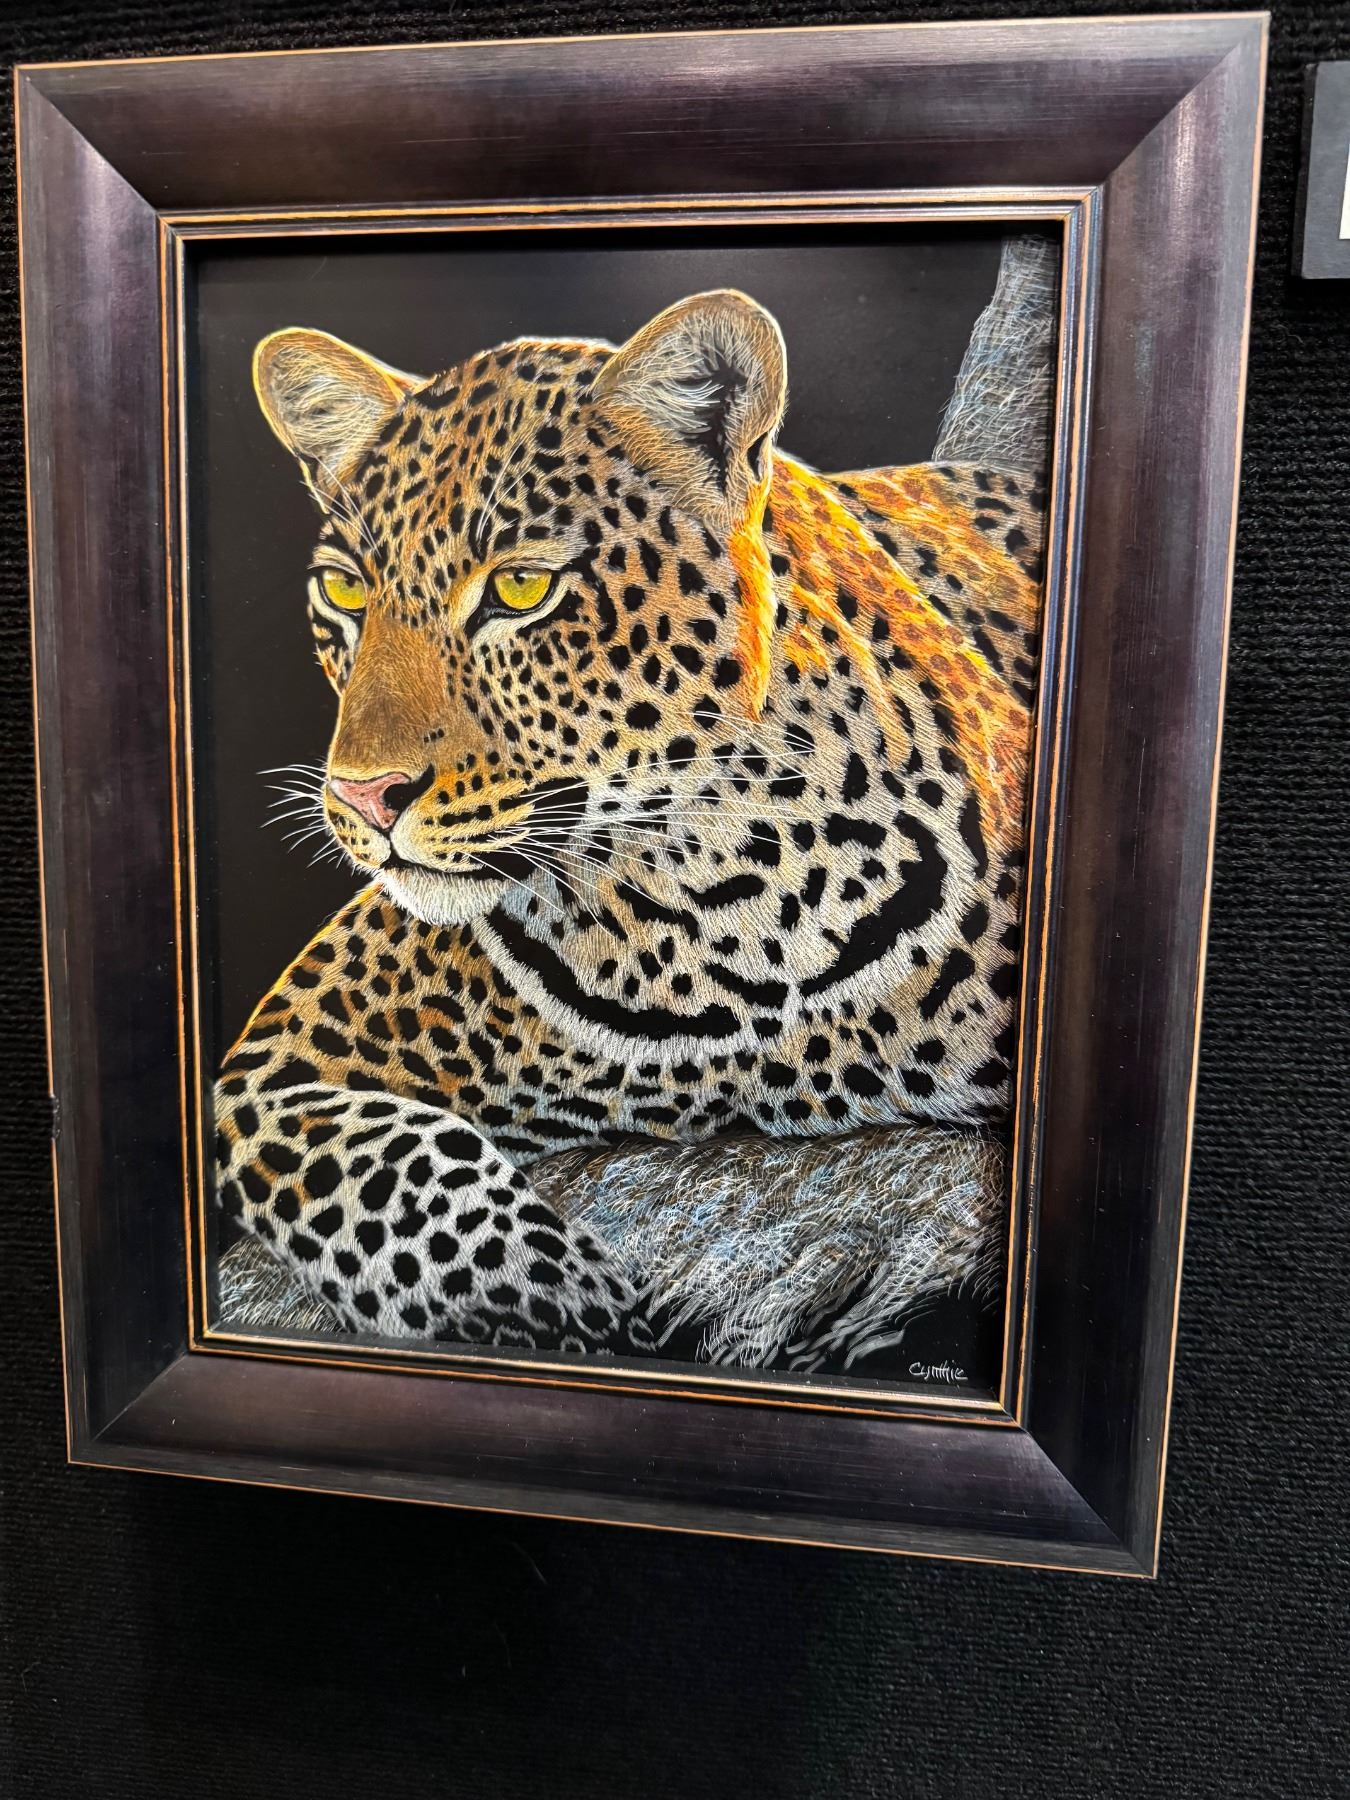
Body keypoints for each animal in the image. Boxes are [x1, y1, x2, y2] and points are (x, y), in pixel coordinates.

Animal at [214, 288, 1044, 1361]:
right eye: (347, 589)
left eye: (521, 589)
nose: (363, 796)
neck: (719, 894)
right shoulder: (272, 1067)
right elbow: (389, 1170)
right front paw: (549, 1300)